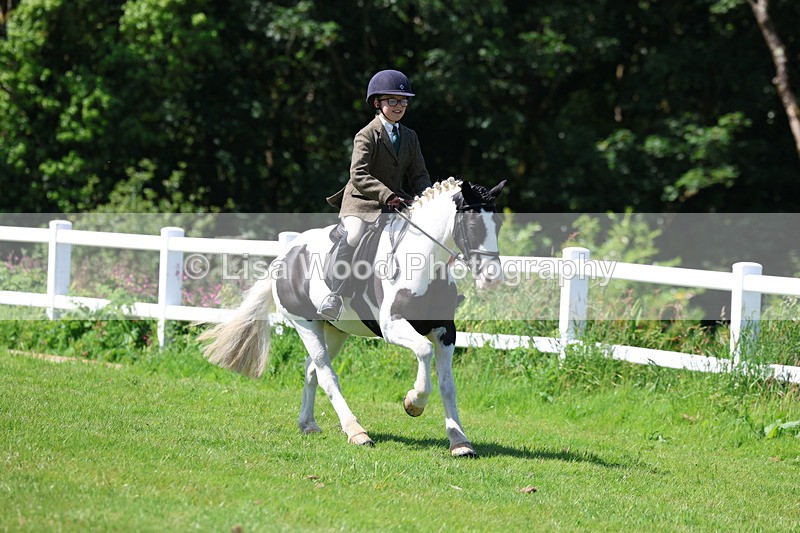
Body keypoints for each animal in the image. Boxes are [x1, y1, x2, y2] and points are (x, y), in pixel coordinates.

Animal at [199, 177, 506, 457]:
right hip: (305, 324)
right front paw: (413, 402)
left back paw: (308, 424)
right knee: (326, 375)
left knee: (311, 369)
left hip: (336, 330)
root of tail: (285, 256)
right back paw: (356, 432)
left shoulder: (445, 332)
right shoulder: (393, 326)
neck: (425, 264)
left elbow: (447, 385)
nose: (492, 279)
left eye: (499, 224)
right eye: (474, 225)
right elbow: (423, 350)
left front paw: (460, 441)